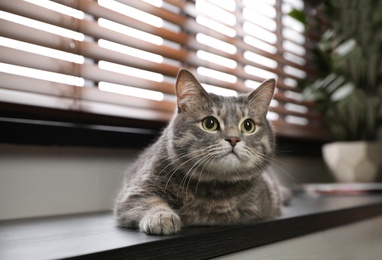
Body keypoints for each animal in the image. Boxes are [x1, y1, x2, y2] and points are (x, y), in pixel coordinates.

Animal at [115, 68, 288, 235]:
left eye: (248, 126)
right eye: (209, 123)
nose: (233, 139)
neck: (214, 189)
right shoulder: (133, 193)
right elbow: (148, 202)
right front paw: (162, 217)